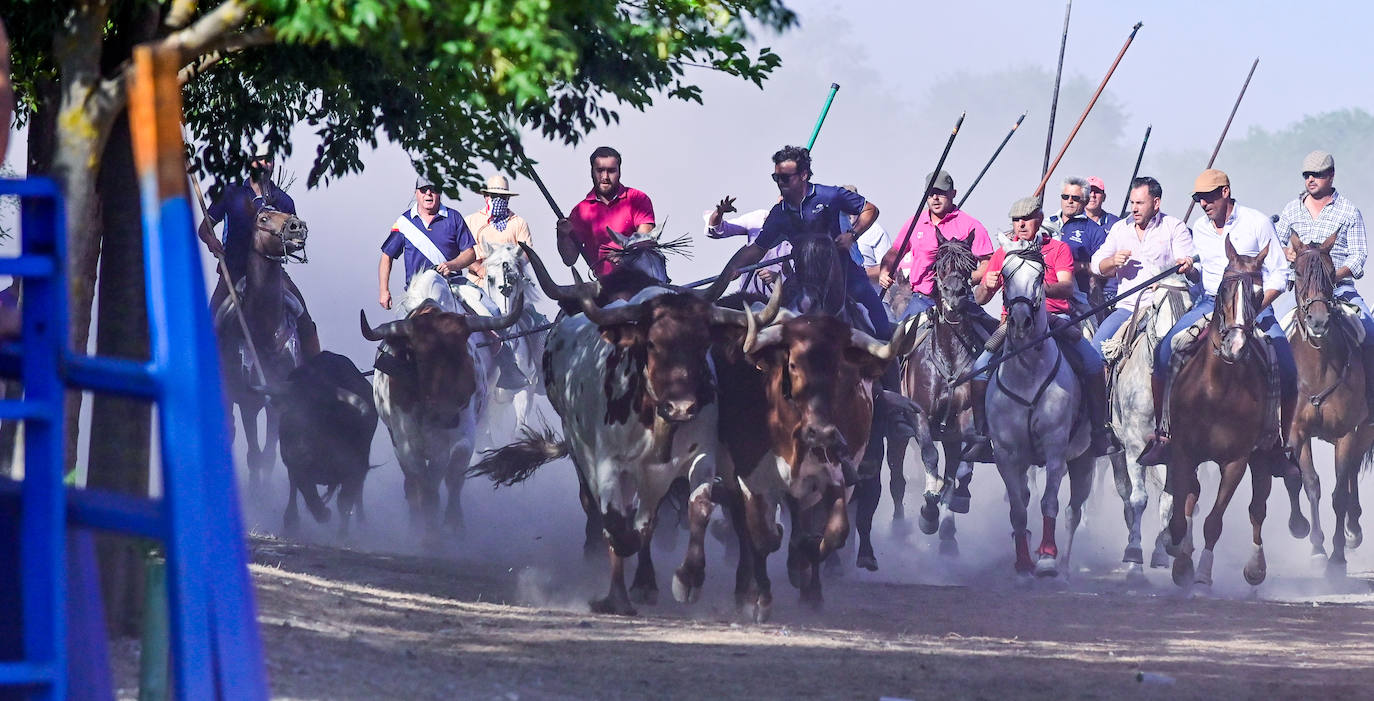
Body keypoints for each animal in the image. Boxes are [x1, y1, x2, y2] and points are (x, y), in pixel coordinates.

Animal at [214, 207, 309, 489]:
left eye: (289, 211)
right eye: (263, 218)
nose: (297, 226)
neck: (263, 332)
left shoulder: (280, 400)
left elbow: (268, 455)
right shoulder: (248, 401)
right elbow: (254, 454)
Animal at [989, 243, 1093, 577]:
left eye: (1039, 276)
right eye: (1006, 274)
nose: (1021, 322)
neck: (1027, 371)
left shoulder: (1055, 446)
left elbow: (1049, 503)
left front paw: (1047, 558)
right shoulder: (1006, 453)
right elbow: (1018, 510)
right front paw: (1023, 561)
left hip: (1085, 460)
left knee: (1074, 511)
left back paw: (1064, 563)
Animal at [1104, 273, 1192, 580]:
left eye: (1191, 305)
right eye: (1155, 305)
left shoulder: (1173, 453)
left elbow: (1168, 499)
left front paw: (1160, 552)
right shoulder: (1134, 446)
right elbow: (1138, 498)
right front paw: (1134, 557)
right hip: (1117, 452)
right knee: (1126, 493)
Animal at [1170, 239, 1275, 585]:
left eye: (1258, 293)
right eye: (1225, 289)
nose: (1236, 346)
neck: (1216, 390)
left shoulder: (1236, 461)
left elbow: (1214, 522)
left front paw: (1202, 575)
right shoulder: (1182, 450)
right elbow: (1183, 508)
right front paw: (1181, 559)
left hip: (1263, 457)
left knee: (1258, 507)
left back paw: (1256, 568)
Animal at [1286, 232, 1374, 571]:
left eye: (1331, 273)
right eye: (1297, 273)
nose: (1319, 321)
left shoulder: (1348, 434)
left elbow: (1339, 494)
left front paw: (1336, 555)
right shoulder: (1297, 431)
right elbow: (1311, 483)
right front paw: (1316, 547)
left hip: (1363, 432)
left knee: (1350, 476)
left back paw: (1354, 531)